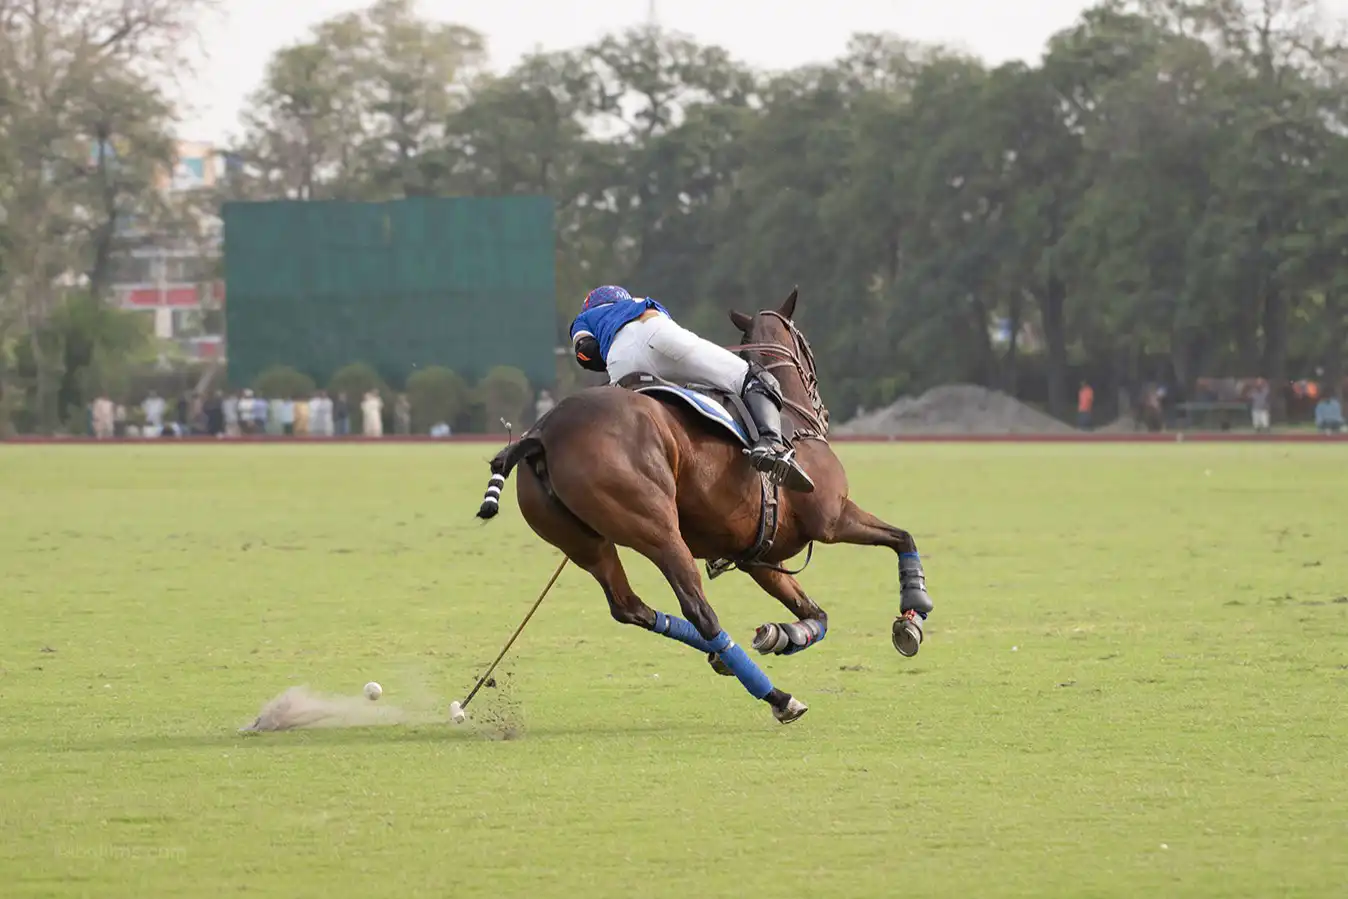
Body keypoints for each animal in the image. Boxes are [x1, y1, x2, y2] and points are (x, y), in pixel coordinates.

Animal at [475, 288, 933, 724]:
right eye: (804, 344)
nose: (822, 409)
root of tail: (542, 432)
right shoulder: (832, 518)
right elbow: (902, 537)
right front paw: (913, 615)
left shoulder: (759, 557)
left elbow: (816, 615)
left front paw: (782, 633)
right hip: (656, 528)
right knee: (698, 609)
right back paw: (776, 696)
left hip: (586, 544)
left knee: (630, 607)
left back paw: (725, 657)